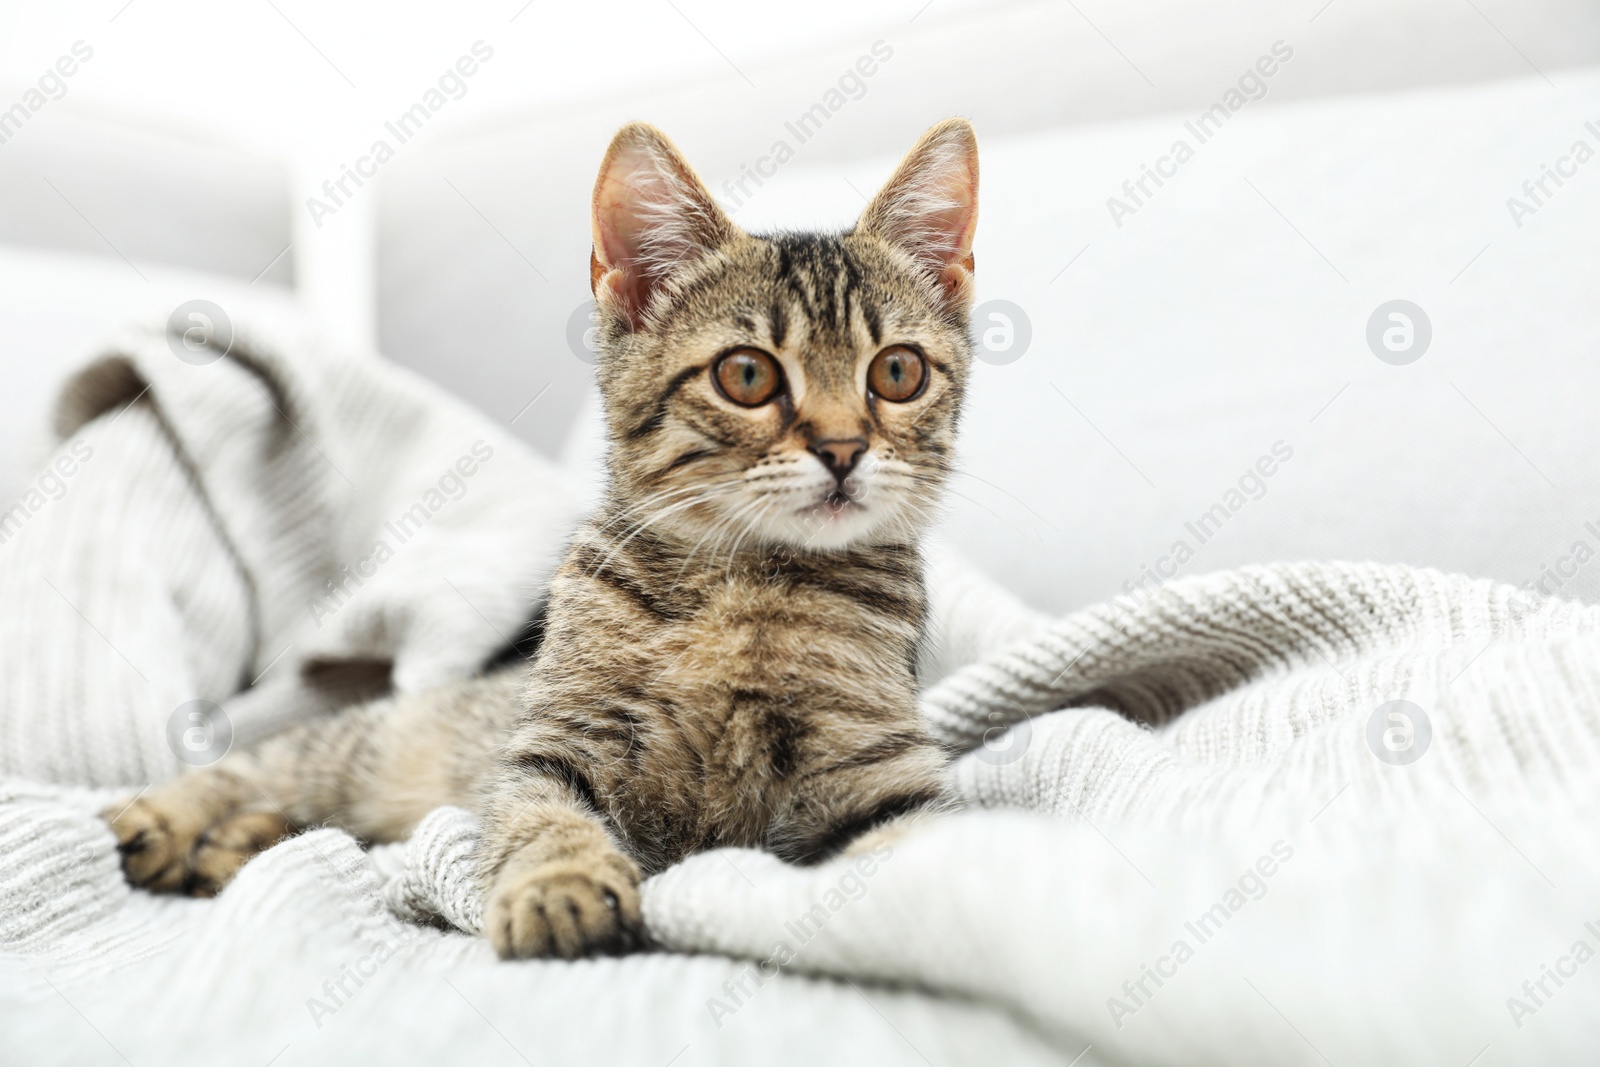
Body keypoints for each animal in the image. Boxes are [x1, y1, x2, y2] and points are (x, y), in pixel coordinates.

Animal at [106, 116, 979, 959]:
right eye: (747, 375)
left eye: (897, 372)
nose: (843, 448)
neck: (751, 585)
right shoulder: (559, 744)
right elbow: (540, 818)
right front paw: (560, 884)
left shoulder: (876, 769)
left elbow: (918, 839)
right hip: (376, 747)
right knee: (280, 760)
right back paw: (167, 815)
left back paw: (234, 843)